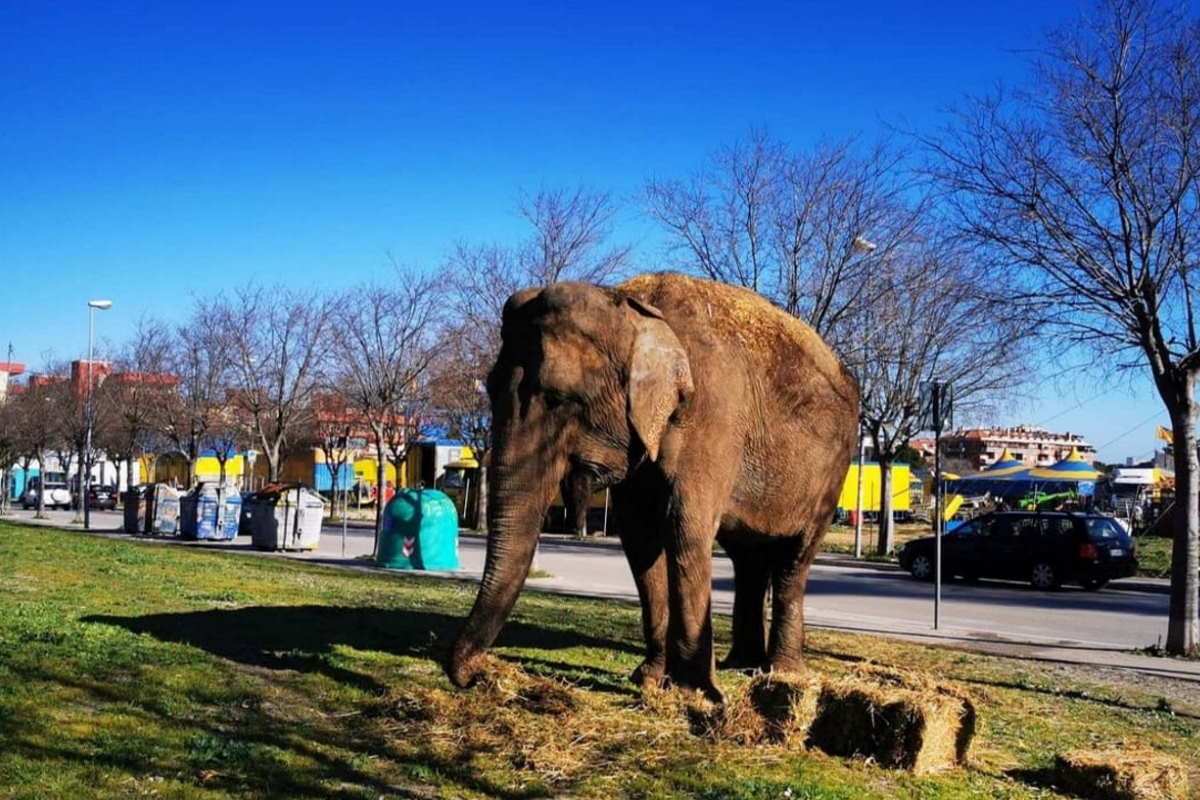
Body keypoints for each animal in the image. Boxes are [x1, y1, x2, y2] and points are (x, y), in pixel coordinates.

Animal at [446, 273, 859, 700]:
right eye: (490, 388)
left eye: (559, 398)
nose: (475, 675)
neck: (630, 303)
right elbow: (640, 537)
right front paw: (650, 681)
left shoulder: (712, 415)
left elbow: (685, 527)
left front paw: (697, 694)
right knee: (748, 559)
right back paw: (742, 665)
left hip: (833, 471)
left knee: (794, 559)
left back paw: (783, 675)